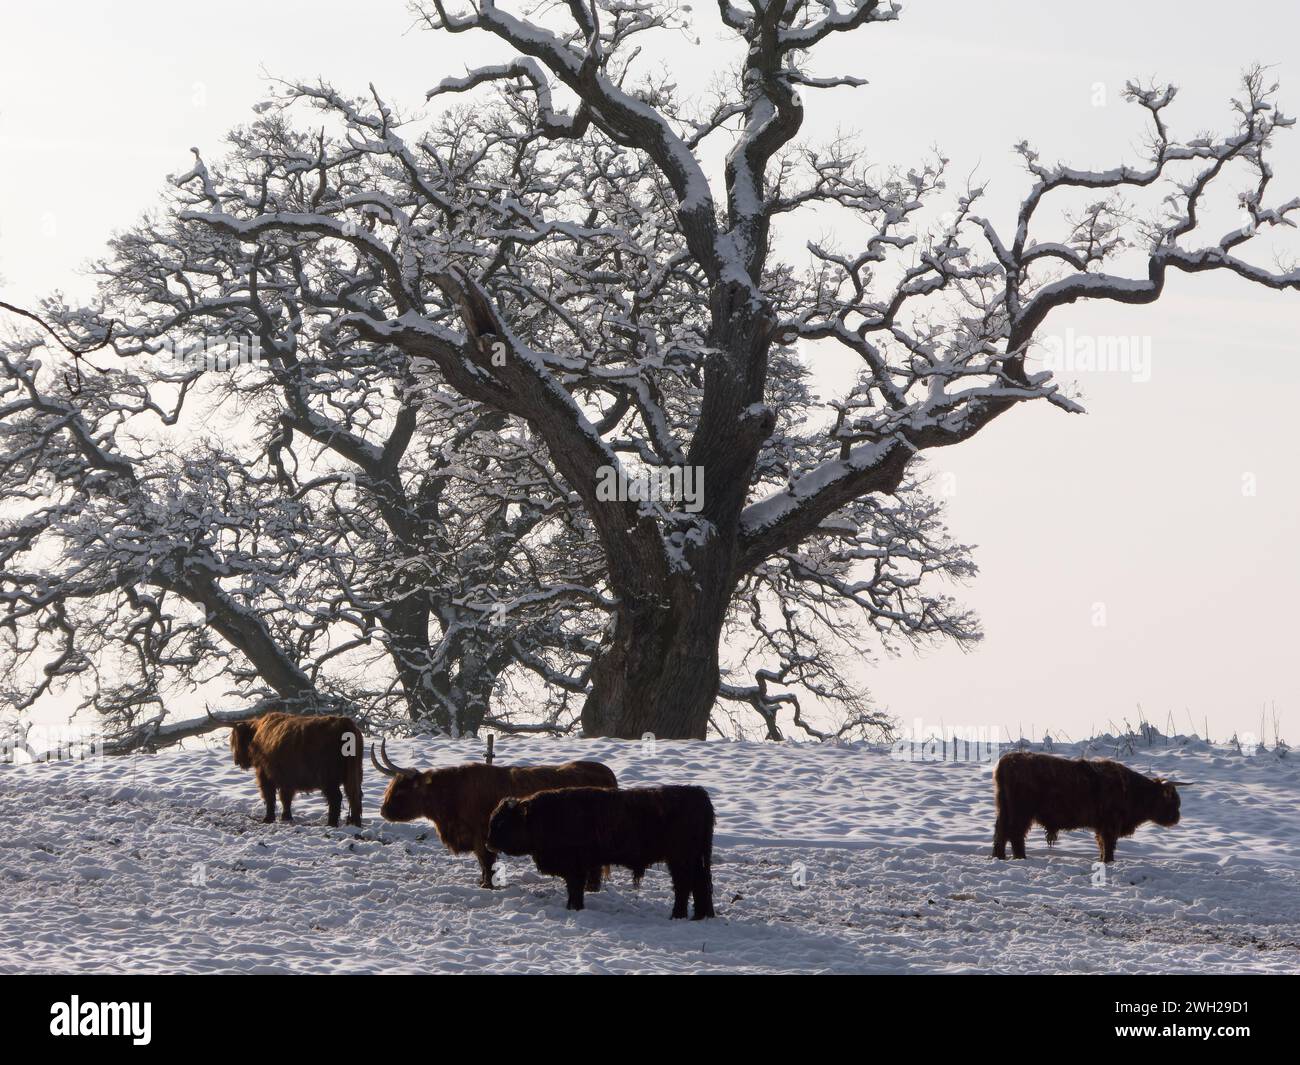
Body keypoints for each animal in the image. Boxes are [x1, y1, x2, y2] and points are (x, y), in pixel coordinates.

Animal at [230, 712, 366, 827]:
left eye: (235, 741)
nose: (236, 760)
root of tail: (345, 723)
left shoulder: (264, 774)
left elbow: (270, 797)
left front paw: (268, 818)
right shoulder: (286, 779)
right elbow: (285, 798)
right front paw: (286, 817)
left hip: (329, 778)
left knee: (336, 798)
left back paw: (331, 823)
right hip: (354, 774)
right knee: (354, 796)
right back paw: (355, 823)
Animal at [369, 738, 616, 889]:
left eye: (401, 790)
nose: (383, 811)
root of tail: (603, 770)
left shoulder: (482, 836)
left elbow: (486, 861)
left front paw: (487, 885)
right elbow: (482, 863)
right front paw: (483, 882)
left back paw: (591, 888)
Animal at [488, 780, 717, 920]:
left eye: (502, 822)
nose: (488, 843)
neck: (542, 817)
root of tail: (697, 793)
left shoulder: (576, 868)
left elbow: (575, 889)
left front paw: (574, 908)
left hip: (680, 859)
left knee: (684, 885)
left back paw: (677, 915)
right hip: (693, 859)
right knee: (699, 885)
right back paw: (699, 916)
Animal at [987, 754, 1185, 863]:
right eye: (1173, 801)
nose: (1177, 817)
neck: (1131, 790)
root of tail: (1007, 760)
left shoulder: (1102, 825)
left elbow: (1102, 844)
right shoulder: (1110, 824)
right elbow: (1108, 844)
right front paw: (1108, 861)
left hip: (1004, 810)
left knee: (1001, 833)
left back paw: (1000, 857)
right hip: (1021, 812)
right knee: (1015, 834)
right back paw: (1020, 857)